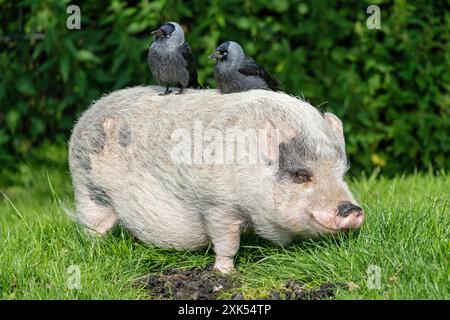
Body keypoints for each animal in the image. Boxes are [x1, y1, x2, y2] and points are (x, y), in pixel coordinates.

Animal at [67, 86, 362, 274]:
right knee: (93, 227)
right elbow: (227, 243)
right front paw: (225, 274)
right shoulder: (217, 205)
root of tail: (88, 113)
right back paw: (95, 254)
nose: (352, 209)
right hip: (87, 188)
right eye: (301, 175)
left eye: (341, 173)